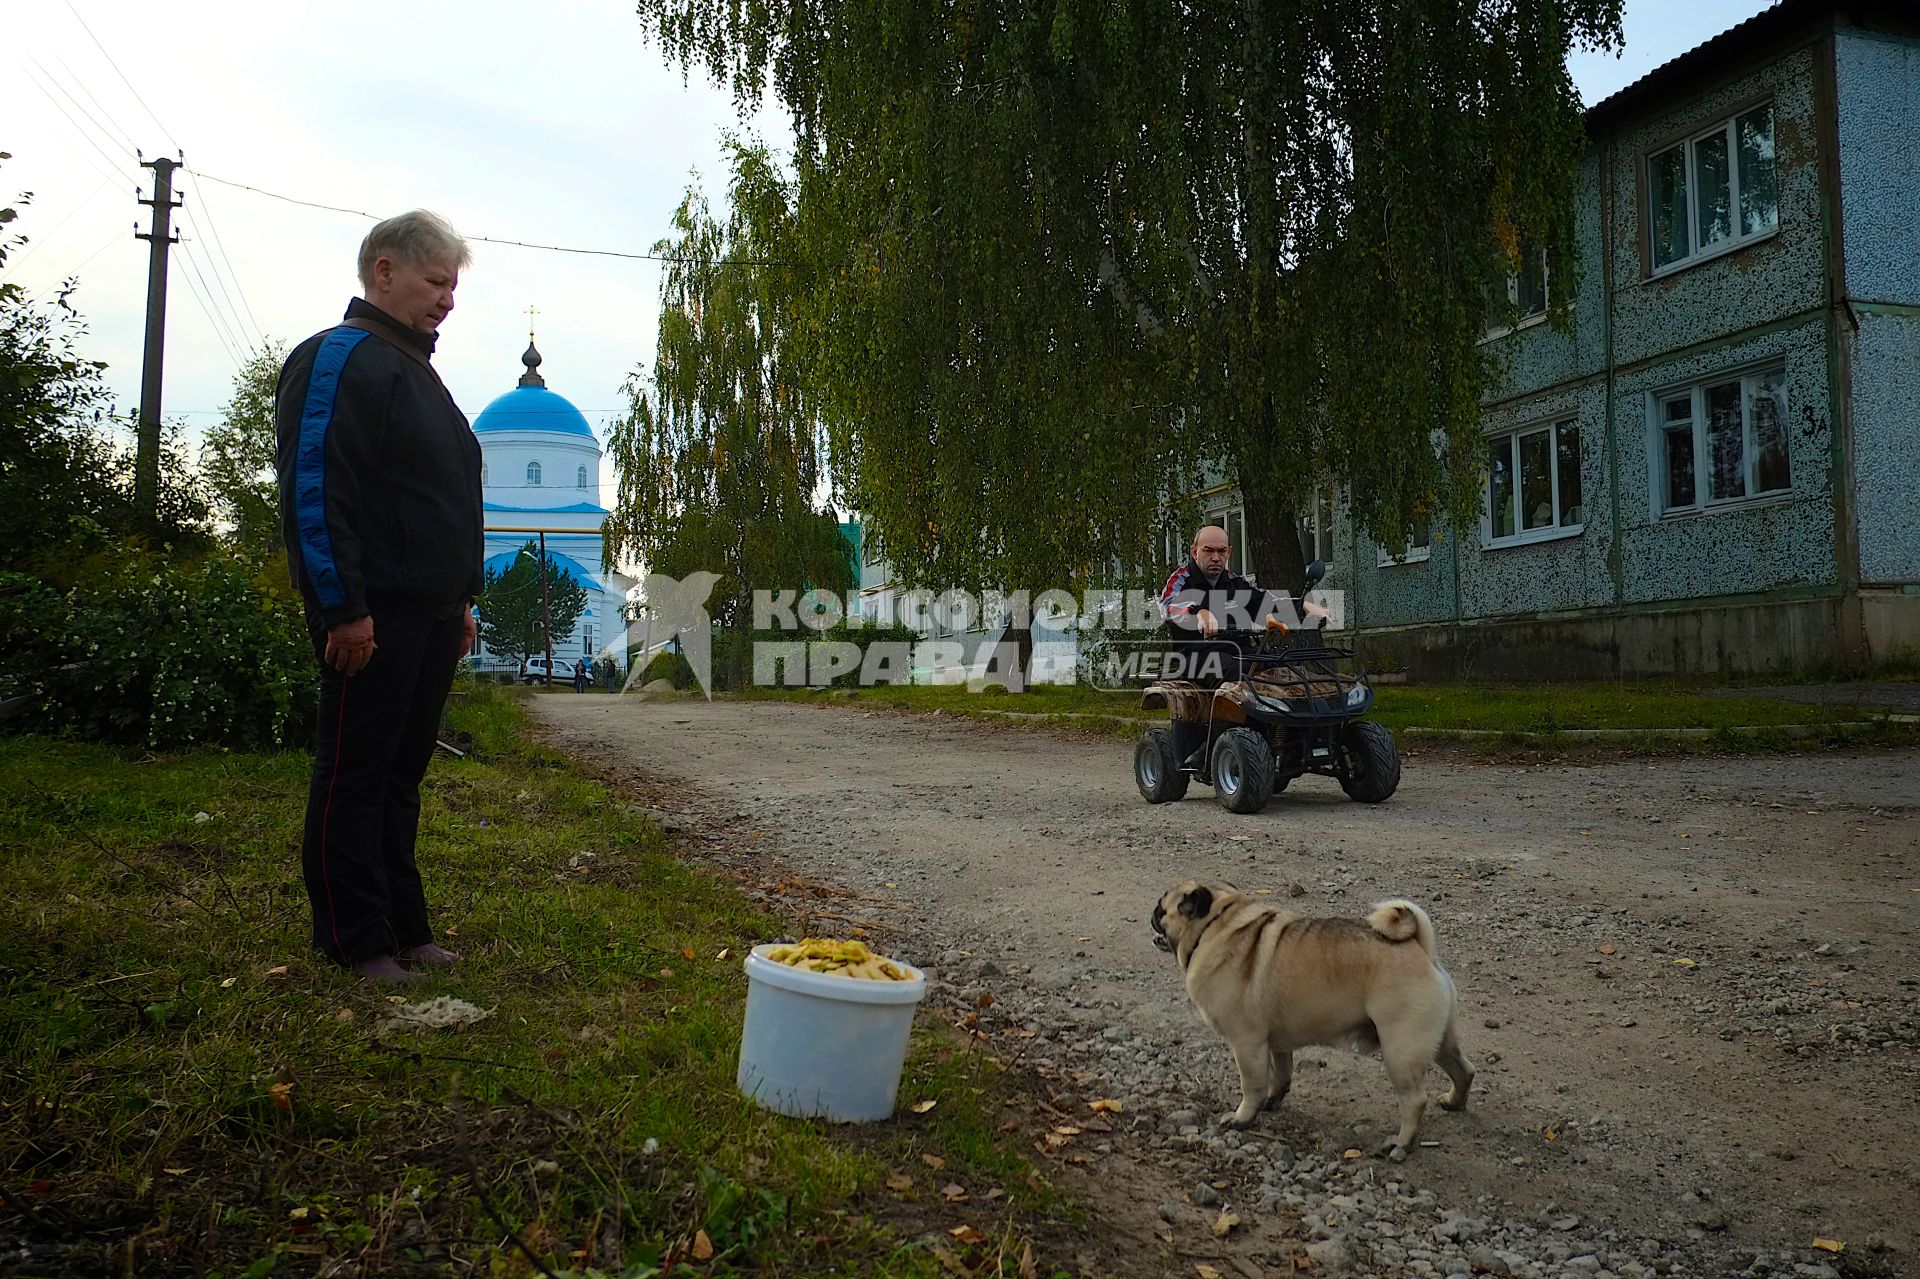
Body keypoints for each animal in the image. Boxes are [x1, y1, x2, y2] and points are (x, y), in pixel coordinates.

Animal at [1152, 875, 1466, 1152]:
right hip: (1438, 1041)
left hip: (1400, 1050)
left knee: (1414, 1101)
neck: (1216, 924)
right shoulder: (1275, 1044)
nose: (1152, 913)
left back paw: (1401, 1144)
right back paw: (1454, 1103)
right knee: (1464, 1070)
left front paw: (1242, 1119)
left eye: (1162, 907)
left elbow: (1252, 1085)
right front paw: (1273, 1102)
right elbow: (1280, 1075)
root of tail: (1422, 949)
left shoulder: (1246, 1043)